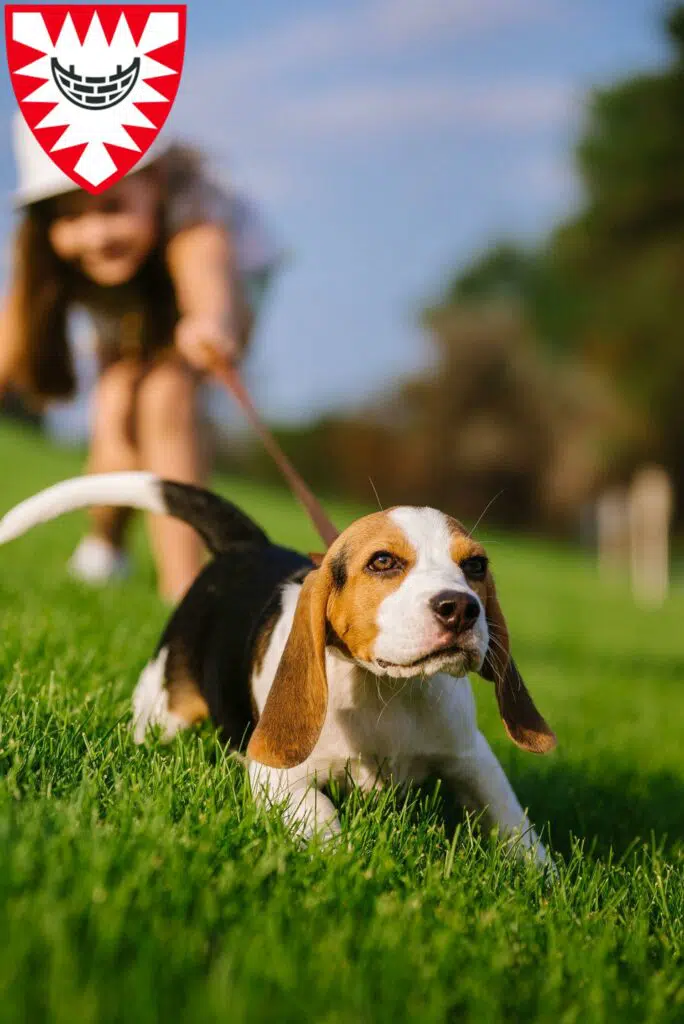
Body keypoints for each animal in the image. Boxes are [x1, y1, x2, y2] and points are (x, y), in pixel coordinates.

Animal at [0, 471, 557, 864]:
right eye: (383, 562)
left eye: (476, 566)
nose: (461, 608)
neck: (386, 690)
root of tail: (249, 545)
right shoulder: (275, 775)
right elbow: (322, 815)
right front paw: (343, 863)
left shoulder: (472, 756)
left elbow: (512, 822)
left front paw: (545, 881)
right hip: (163, 706)